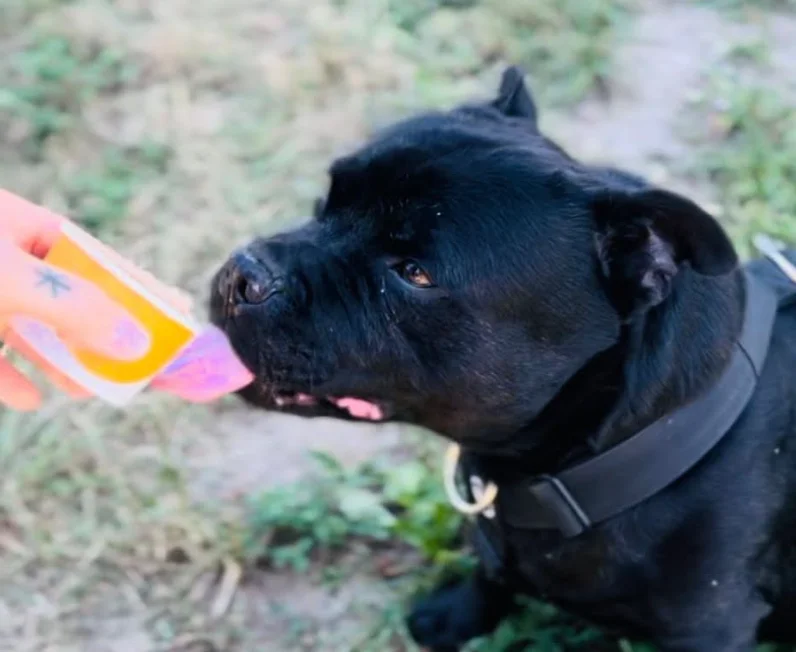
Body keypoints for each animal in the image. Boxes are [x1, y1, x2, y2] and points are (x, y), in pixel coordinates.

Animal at [210, 69, 796, 648]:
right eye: (324, 203)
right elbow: (489, 569)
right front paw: (457, 614)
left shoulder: (708, 627)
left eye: (414, 273)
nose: (244, 274)